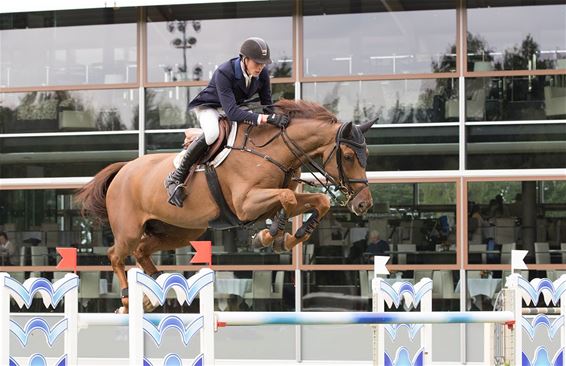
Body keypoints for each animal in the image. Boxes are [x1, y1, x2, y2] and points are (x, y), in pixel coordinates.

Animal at [76, 98, 378, 314]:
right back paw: (129, 301)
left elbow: (316, 201)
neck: (274, 151)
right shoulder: (247, 204)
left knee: (141, 250)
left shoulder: (269, 201)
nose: (363, 204)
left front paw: (290, 237)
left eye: (366, 154)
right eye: (348, 156)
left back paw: (155, 294)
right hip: (129, 229)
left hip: (180, 231)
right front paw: (268, 236)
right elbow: (288, 199)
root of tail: (123, 168)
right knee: (117, 255)